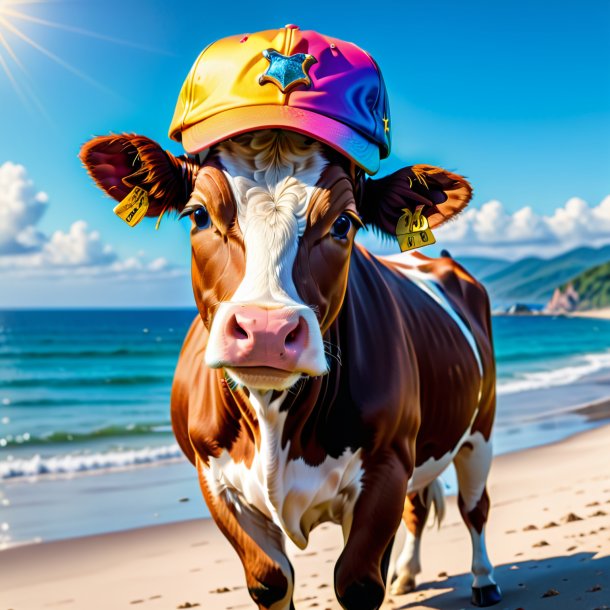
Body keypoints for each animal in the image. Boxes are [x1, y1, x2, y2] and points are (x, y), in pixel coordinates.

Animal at [79, 25, 498, 608]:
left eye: (344, 223)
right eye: (198, 214)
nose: (266, 331)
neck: (275, 421)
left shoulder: (387, 465)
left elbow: (358, 580)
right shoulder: (216, 481)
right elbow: (271, 580)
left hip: (481, 427)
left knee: (474, 507)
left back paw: (483, 580)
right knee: (422, 506)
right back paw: (409, 575)